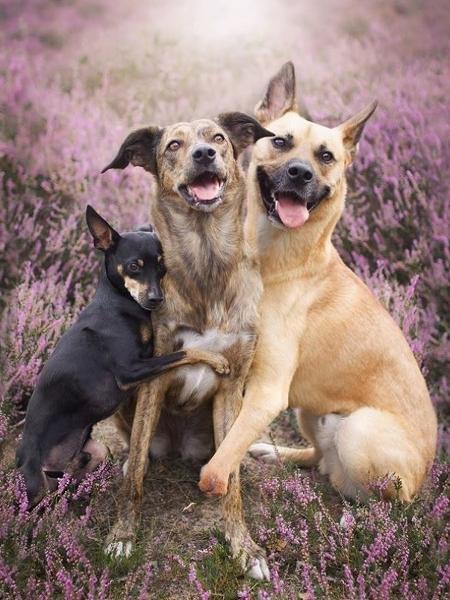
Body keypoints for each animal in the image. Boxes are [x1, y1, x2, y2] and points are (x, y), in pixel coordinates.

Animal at [17, 206, 229, 506]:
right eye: (133, 266)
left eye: (162, 266)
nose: (156, 299)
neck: (119, 304)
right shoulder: (130, 370)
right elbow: (183, 352)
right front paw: (217, 359)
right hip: (35, 484)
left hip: (95, 451)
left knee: (68, 484)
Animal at [100, 113, 272, 580]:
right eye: (174, 145)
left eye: (218, 138)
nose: (204, 154)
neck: (207, 257)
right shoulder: (153, 379)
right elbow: (135, 479)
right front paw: (122, 536)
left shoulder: (232, 386)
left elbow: (232, 488)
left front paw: (244, 547)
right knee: (137, 452)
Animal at [200, 64, 436, 506]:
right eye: (280, 141)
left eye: (326, 156)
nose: (300, 173)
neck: (278, 260)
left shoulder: (267, 391)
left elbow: (222, 458)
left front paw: (215, 481)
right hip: (308, 411)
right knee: (316, 455)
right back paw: (280, 453)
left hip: (359, 433)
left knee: (382, 498)